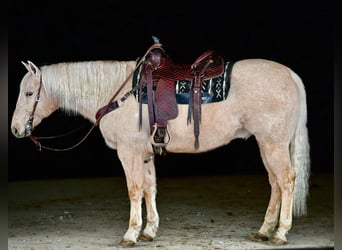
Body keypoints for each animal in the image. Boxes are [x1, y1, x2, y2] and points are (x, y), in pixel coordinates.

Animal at [10, 45, 310, 246]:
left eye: (29, 93)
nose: (15, 129)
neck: (118, 93)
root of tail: (290, 75)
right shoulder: (145, 153)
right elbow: (148, 188)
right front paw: (149, 230)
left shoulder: (128, 151)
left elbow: (134, 189)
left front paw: (131, 233)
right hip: (267, 144)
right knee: (275, 183)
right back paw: (264, 230)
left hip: (273, 144)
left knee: (286, 181)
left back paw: (280, 232)